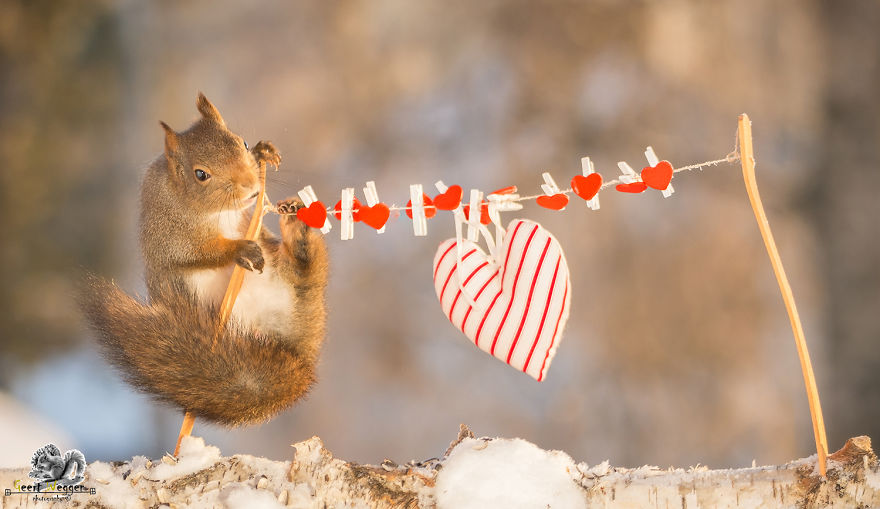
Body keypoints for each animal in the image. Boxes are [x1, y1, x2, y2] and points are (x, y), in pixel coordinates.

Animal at [80, 93, 329, 426]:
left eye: (242, 142)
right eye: (201, 174)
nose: (250, 186)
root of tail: (298, 348)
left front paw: (265, 151)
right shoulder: (171, 237)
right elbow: (199, 252)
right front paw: (239, 250)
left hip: (290, 280)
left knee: (305, 268)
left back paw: (297, 228)